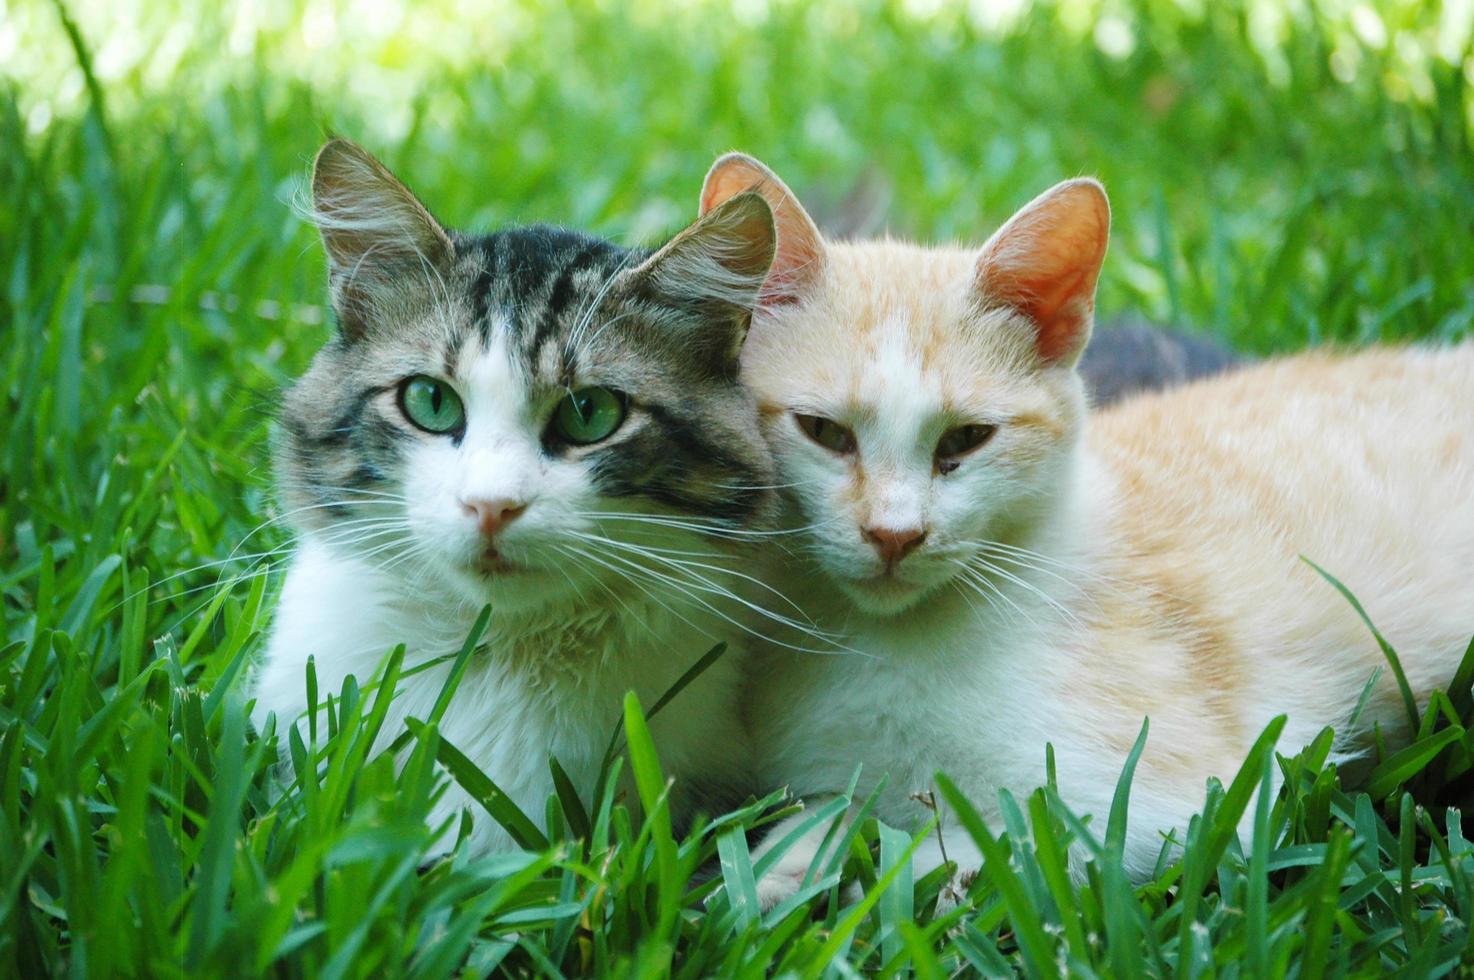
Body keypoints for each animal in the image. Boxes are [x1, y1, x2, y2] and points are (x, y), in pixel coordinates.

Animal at [698, 151, 1474, 901]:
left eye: (966, 439)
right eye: (825, 432)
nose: (895, 534)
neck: (884, 643)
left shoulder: (1181, 799)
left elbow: (992, 857)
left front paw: (866, 883)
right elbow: (838, 808)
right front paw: (781, 871)